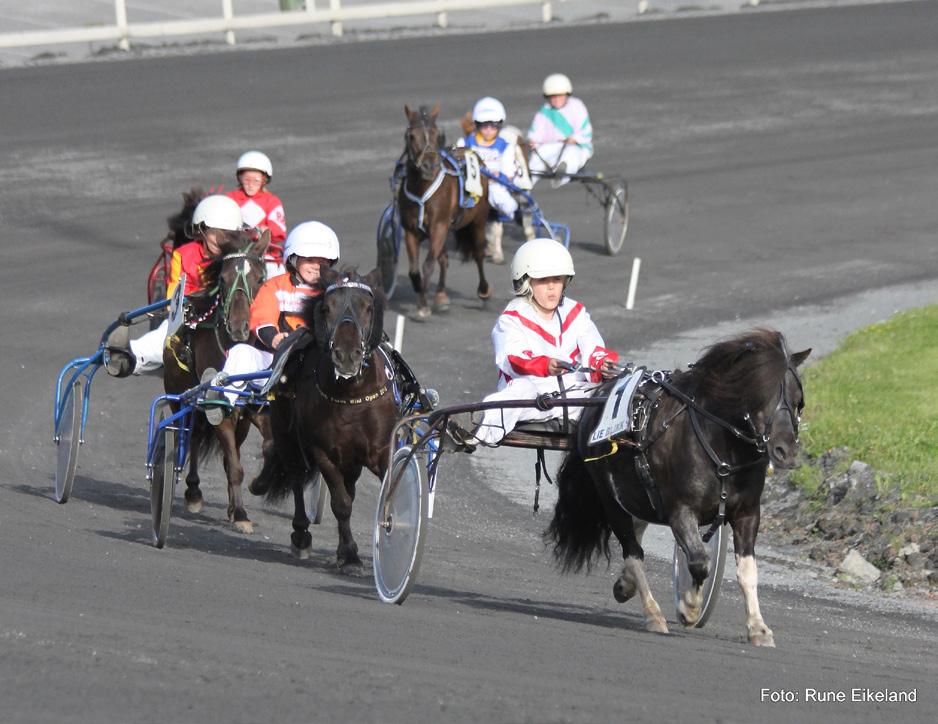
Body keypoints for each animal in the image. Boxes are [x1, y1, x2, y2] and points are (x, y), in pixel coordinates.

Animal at [161, 230, 268, 532]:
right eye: (223, 279)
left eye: (260, 279)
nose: (239, 327)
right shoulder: (219, 411)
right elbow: (234, 465)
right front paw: (241, 514)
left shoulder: (253, 409)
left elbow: (260, 450)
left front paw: (250, 493)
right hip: (181, 397)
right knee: (192, 436)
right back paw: (194, 492)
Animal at [398, 106, 494, 320]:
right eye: (411, 136)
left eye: (436, 134)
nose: (428, 166)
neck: (422, 188)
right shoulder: (410, 230)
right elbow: (415, 270)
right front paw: (420, 288)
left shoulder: (439, 226)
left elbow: (427, 265)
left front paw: (423, 306)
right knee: (443, 258)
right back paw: (441, 296)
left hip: (478, 219)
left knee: (478, 254)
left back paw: (484, 291)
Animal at [544, 330, 808, 648]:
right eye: (758, 392)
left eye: (798, 400)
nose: (786, 451)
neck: (723, 447)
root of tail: (597, 398)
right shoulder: (680, 510)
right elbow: (699, 560)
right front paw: (690, 606)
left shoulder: (747, 513)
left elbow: (747, 572)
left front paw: (758, 628)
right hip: (610, 499)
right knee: (633, 551)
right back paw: (653, 614)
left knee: (638, 529)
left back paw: (626, 584)